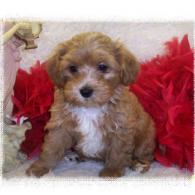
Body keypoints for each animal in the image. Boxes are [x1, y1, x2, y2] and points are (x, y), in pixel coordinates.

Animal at [26, 31, 155, 177]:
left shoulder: (121, 127)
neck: (90, 107)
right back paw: (77, 155)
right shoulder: (60, 125)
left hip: (146, 134)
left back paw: (138, 163)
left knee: (145, 153)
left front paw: (112, 171)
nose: (85, 91)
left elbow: (117, 151)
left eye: (103, 67)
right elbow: (51, 147)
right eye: (72, 68)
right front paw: (39, 168)